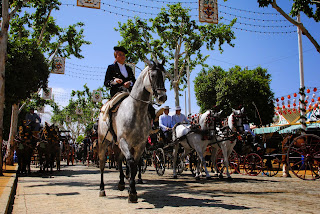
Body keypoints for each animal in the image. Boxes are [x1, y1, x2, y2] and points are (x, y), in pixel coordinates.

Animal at [97, 59, 168, 203]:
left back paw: (121, 183)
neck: (135, 111)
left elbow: (135, 165)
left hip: (117, 145)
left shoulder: (140, 145)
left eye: (164, 76)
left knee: (119, 160)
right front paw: (132, 193)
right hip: (103, 142)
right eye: (153, 75)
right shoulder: (124, 141)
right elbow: (130, 162)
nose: (162, 97)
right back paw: (102, 189)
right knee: (102, 163)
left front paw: (131, 188)